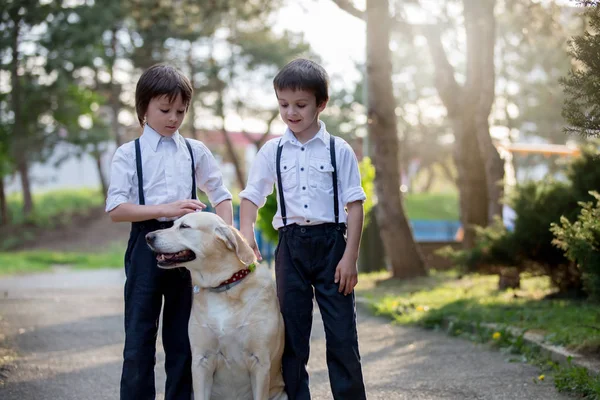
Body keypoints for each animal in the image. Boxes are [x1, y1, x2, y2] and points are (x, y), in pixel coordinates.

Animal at [145, 212, 286, 400]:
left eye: (184, 226)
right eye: (173, 224)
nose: (148, 237)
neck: (223, 287)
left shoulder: (260, 362)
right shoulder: (201, 361)